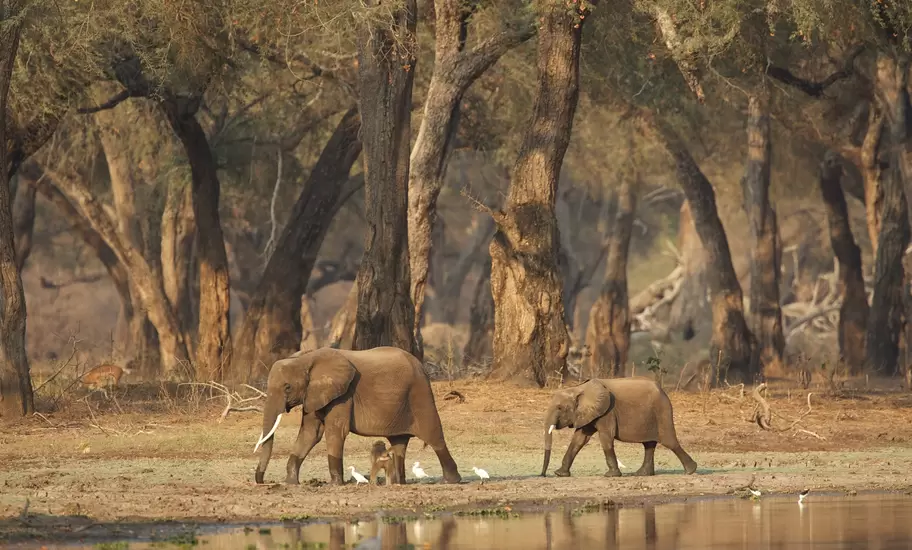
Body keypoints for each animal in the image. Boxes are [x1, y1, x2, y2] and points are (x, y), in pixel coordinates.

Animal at [253, 346, 462, 485]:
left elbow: (335, 432)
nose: (261, 480)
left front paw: (335, 485)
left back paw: (451, 481)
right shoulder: (314, 394)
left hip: (420, 395)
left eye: (287, 387)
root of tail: (422, 367)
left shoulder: (343, 395)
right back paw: (397, 483)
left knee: (434, 436)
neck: (306, 358)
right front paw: (290, 483)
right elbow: (311, 433)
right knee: (398, 442)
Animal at [540, 377, 698, 477]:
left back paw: (691, 471)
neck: (579, 388)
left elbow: (606, 437)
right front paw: (560, 474)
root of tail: (663, 390)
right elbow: (579, 439)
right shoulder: (590, 413)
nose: (543, 475)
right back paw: (641, 474)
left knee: (669, 442)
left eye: (560, 408)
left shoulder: (607, 411)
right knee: (649, 445)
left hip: (662, 412)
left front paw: (611, 476)